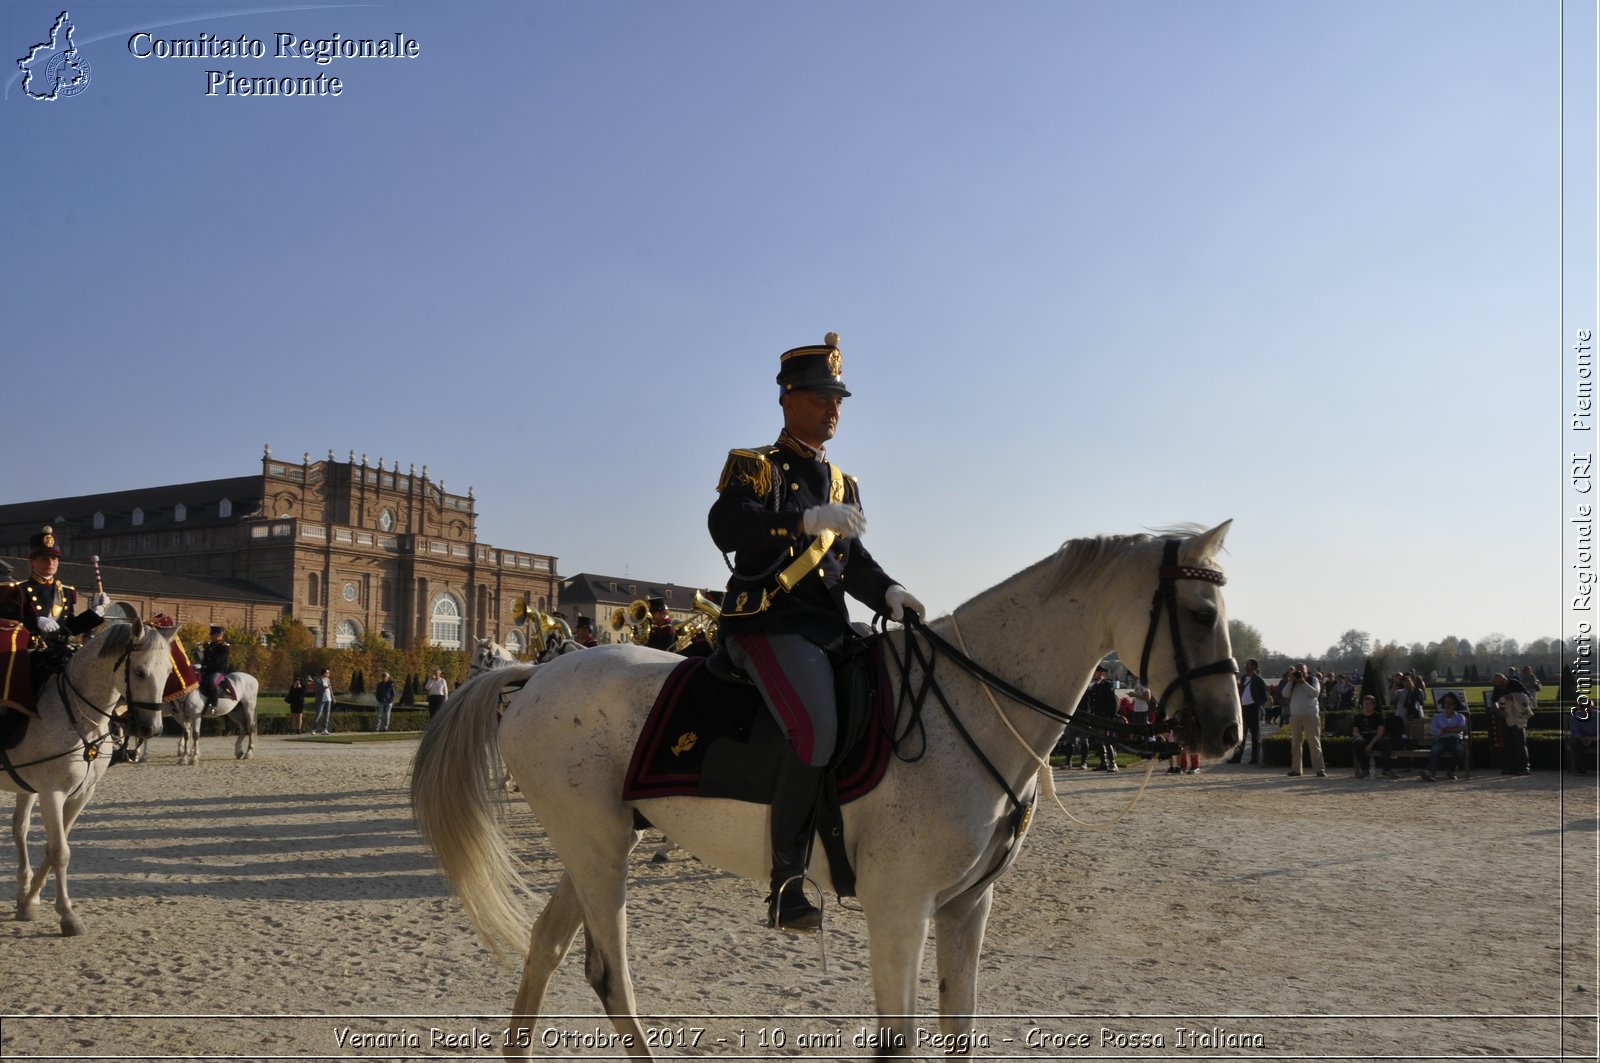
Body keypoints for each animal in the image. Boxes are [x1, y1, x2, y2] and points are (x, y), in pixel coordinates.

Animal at [3, 617, 175, 934]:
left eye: (169, 672)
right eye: (140, 672)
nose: (152, 729)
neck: (78, 712)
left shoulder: (81, 793)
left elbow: (53, 848)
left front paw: (31, 902)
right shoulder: (52, 792)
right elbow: (60, 852)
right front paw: (68, 916)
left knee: (19, 828)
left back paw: (22, 892)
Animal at [409, 521, 1235, 1056]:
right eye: (1201, 612)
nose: (1226, 730)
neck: (967, 704)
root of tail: (536, 672)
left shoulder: (967, 906)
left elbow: (960, 1029)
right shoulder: (900, 908)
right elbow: (899, 1038)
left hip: (599, 844)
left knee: (546, 948)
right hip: (597, 848)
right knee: (610, 976)